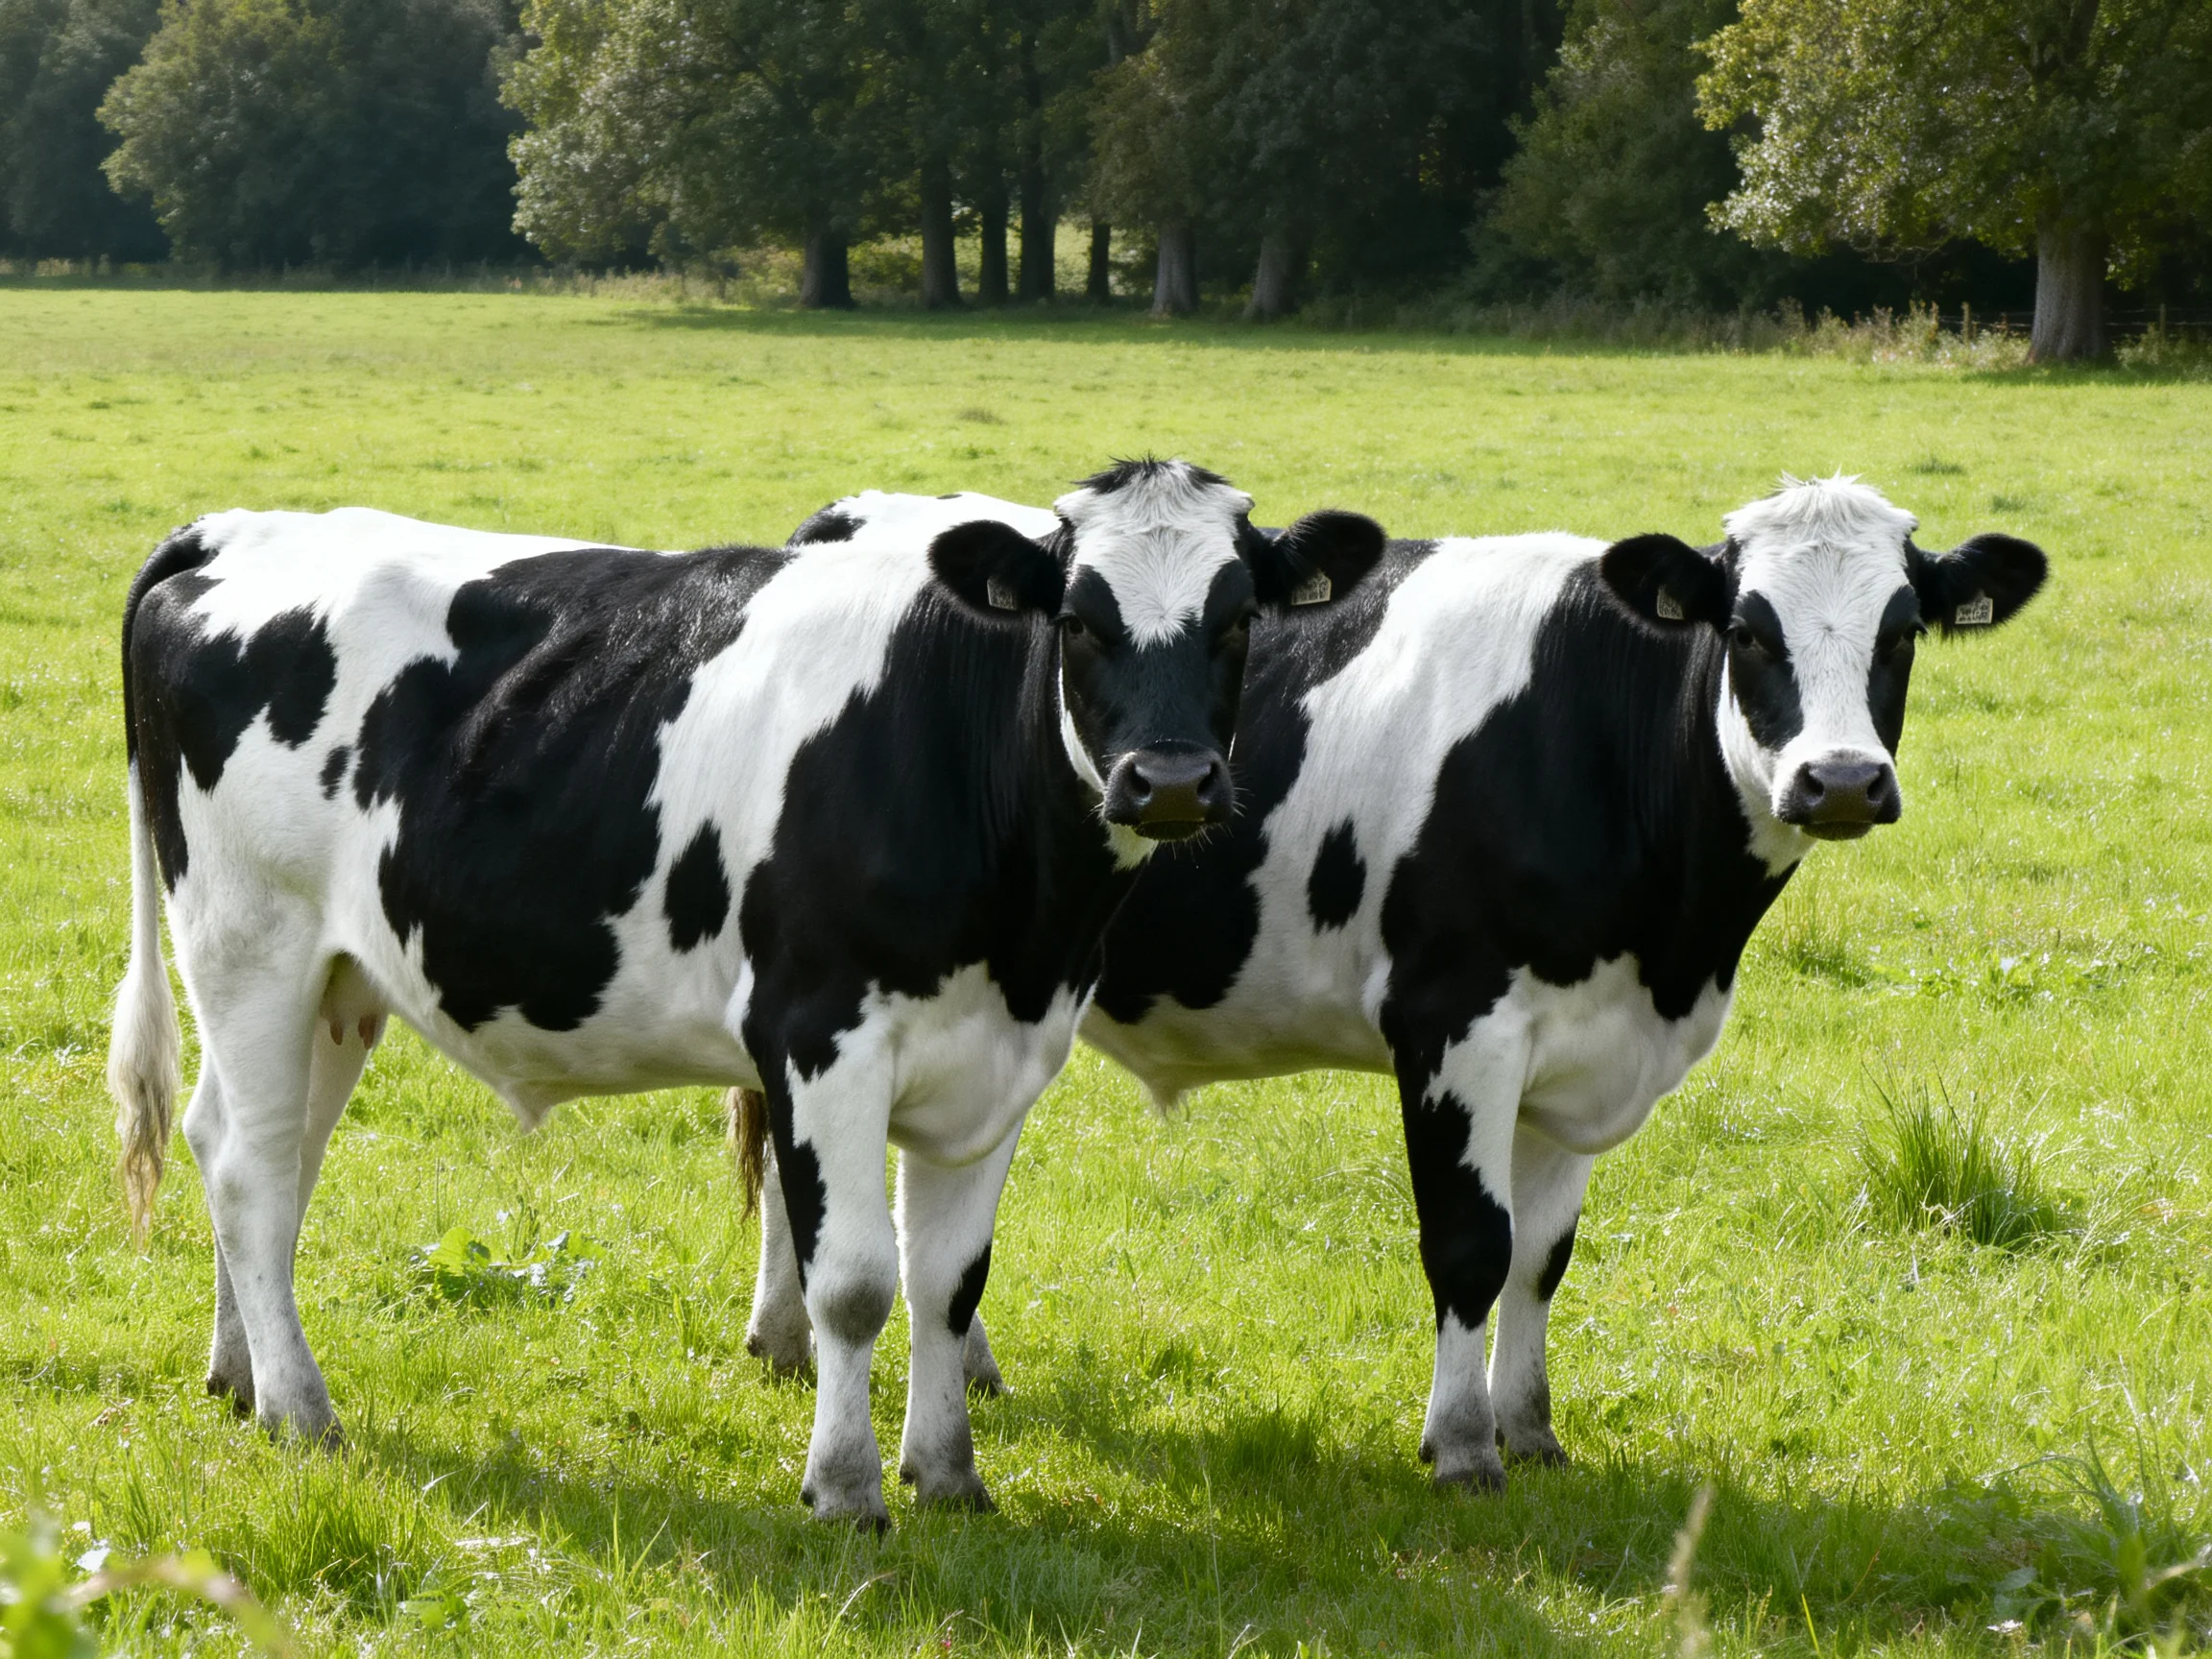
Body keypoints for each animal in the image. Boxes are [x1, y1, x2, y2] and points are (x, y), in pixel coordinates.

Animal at [105, 461, 1386, 1525]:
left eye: (1238, 621)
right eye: (1078, 619)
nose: (1167, 783)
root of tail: (238, 528)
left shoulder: (1002, 1058)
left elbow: (949, 1282)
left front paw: (949, 1477)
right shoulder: (821, 1036)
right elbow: (858, 1284)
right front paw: (847, 1488)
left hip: (338, 978)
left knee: (260, 1151)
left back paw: (240, 1376)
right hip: (247, 939)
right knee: (252, 1167)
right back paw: (302, 1410)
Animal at [744, 475, 2046, 1492]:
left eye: (1901, 634)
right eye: (1753, 633)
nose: (1840, 781)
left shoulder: (1582, 1045)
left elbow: (1540, 1257)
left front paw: (1533, 1433)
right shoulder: (1456, 1021)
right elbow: (1471, 1245)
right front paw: (1461, 1446)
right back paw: (790, 1338)